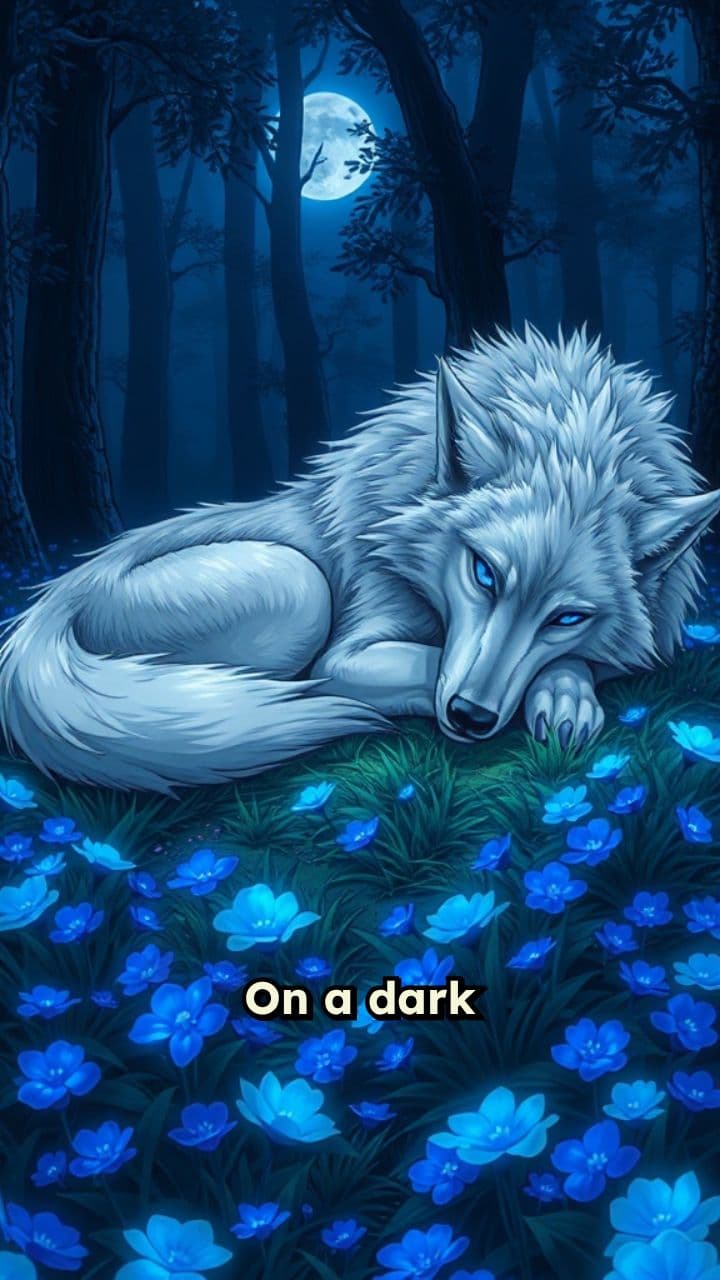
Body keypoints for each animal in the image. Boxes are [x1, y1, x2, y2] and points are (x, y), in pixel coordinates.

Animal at [0, 327, 717, 792]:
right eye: (483, 572)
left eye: (567, 617)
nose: (470, 718)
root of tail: (54, 600)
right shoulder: (351, 651)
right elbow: (419, 667)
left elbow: (585, 662)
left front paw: (565, 694)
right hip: (298, 586)